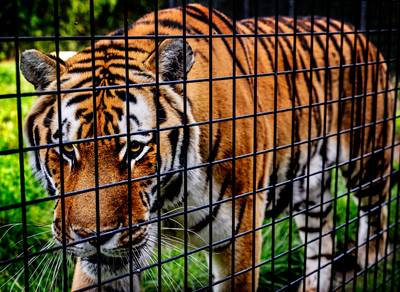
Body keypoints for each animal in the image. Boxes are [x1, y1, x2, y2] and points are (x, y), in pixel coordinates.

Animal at [21, 2, 394, 292]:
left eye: (135, 149)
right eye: (67, 151)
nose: (92, 237)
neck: (169, 203)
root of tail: (358, 32)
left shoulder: (239, 239)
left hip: (369, 162)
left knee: (378, 229)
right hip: (308, 189)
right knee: (322, 242)